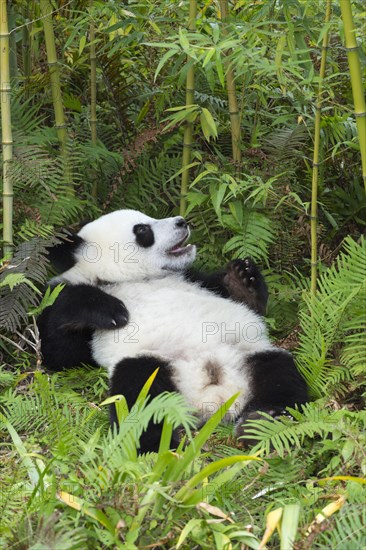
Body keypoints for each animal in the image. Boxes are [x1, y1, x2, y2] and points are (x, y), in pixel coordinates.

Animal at [38, 210, 306, 452]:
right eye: (142, 230)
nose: (181, 221)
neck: (135, 279)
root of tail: (213, 397)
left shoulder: (193, 279)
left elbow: (233, 295)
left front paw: (242, 278)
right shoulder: (75, 307)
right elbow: (60, 352)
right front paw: (110, 310)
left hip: (245, 355)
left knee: (279, 373)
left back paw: (262, 423)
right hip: (153, 363)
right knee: (140, 394)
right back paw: (158, 446)